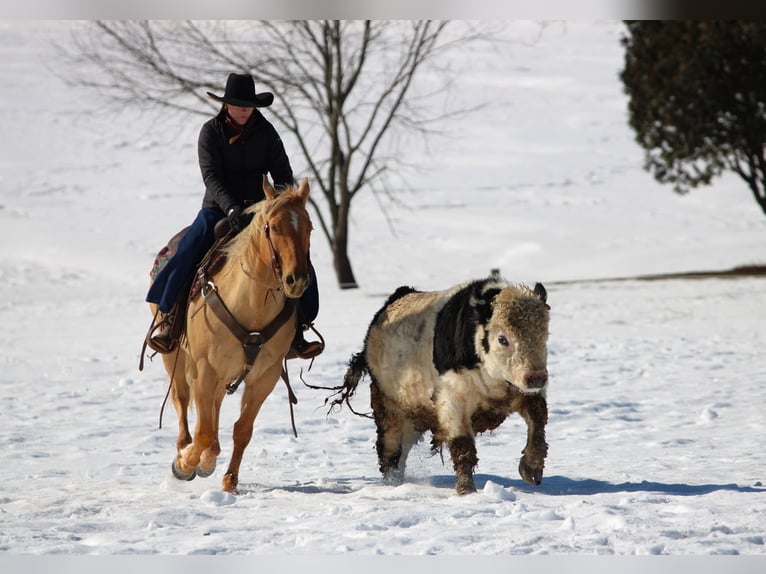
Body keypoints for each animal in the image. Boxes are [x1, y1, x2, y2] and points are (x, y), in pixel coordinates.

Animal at [151, 175, 313, 493]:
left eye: (309, 227)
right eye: (274, 227)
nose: (297, 280)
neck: (251, 305)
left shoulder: (264, 376)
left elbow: (242, 430)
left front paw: (228, 480)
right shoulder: (205, 369)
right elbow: (202, 430)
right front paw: (185, 464)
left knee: (213, 408)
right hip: (174, 358)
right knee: (182, 401)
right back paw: (185, 451)